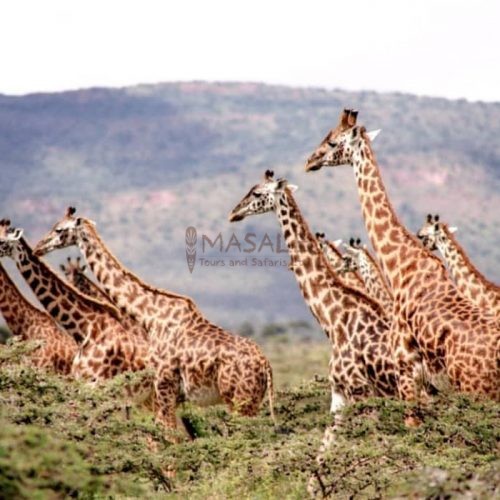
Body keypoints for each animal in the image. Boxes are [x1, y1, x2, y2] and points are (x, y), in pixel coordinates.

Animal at [33, 205, 276, 432]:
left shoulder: (164, 386)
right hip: (250, 401)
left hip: (239, 400)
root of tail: (266, 365)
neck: (151, 317)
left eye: (59, 229)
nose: (38, 247)